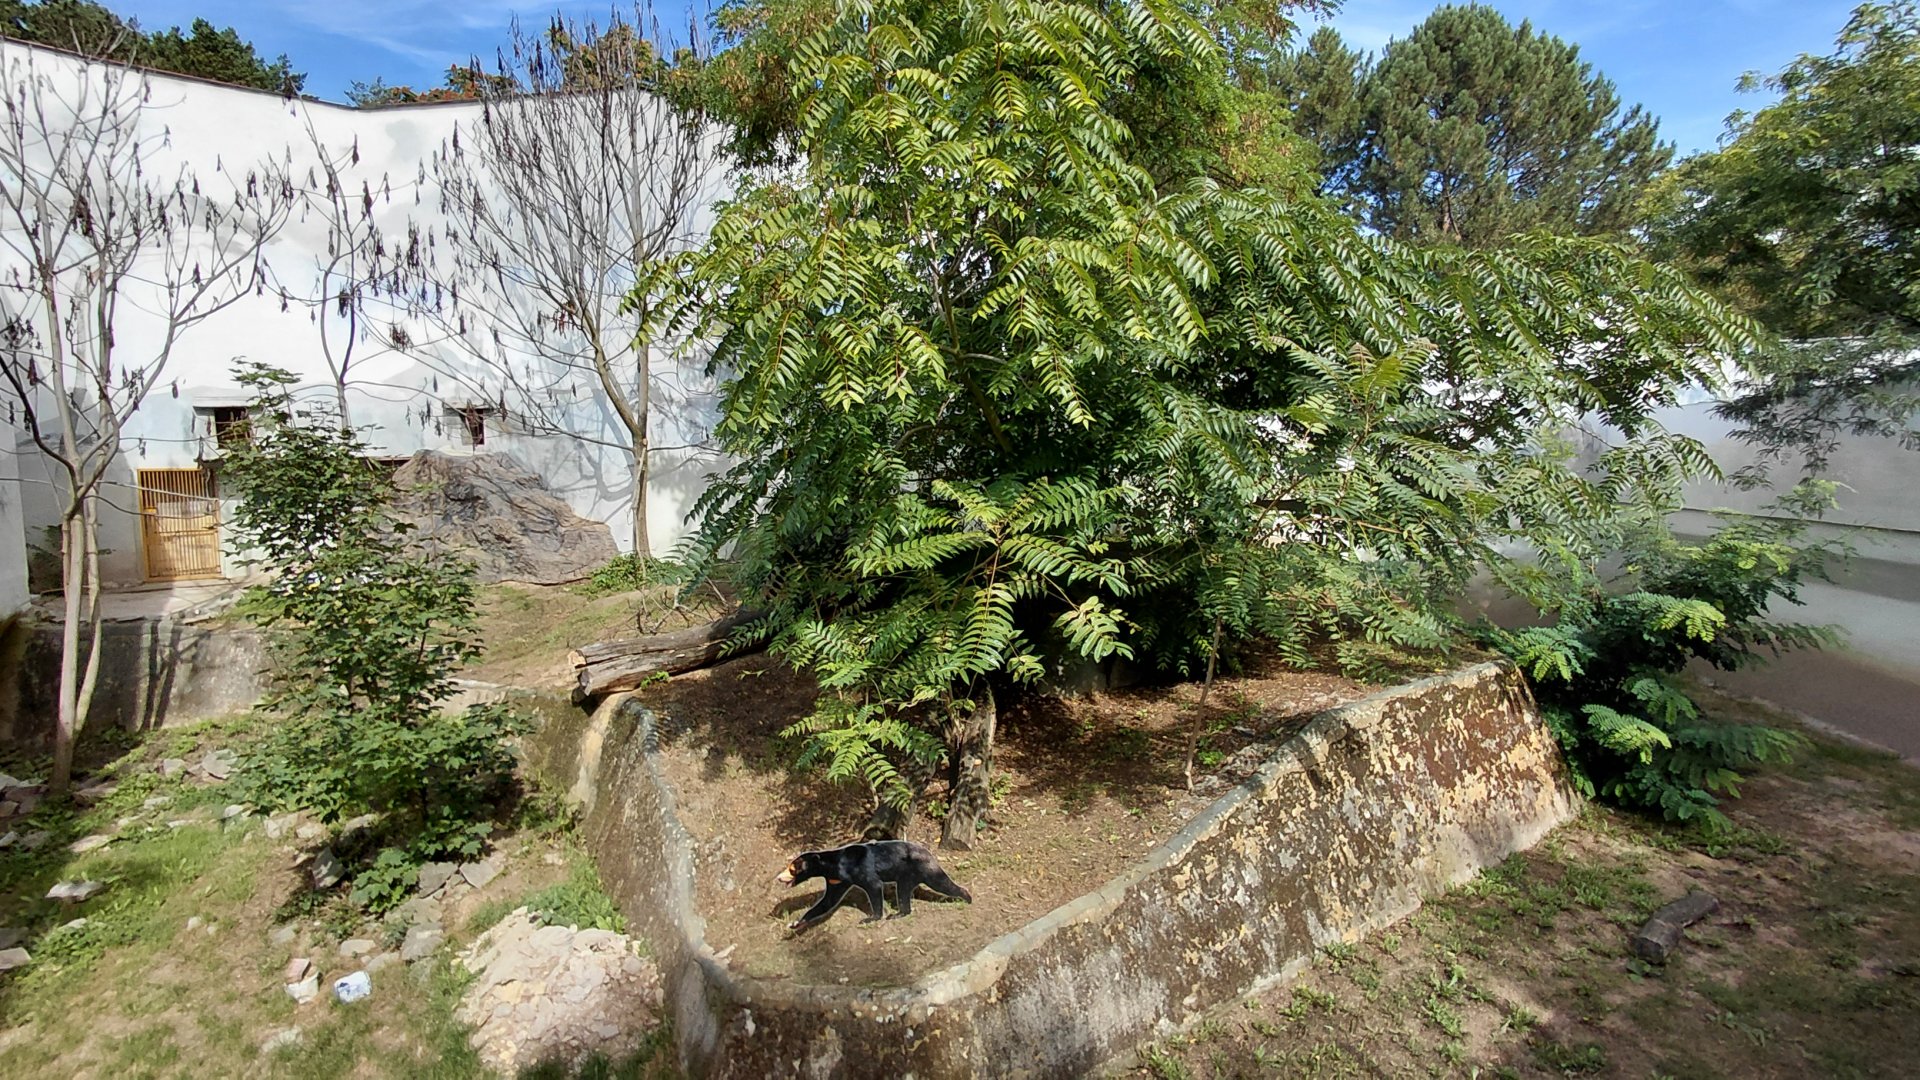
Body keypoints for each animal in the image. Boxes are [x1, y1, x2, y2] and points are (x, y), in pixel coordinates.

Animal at [775, 840, 973, 931]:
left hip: (919, 868)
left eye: (792, 869)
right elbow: (827, 901)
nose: (778, 877)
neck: (834, 866)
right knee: (904, 892)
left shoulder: (859, 869)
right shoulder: (836, 881)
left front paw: (871, 917)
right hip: (908, 874)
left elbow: (874, 886)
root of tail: (929, 853)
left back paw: (967, 897)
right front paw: (795, 923)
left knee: (940, 883)